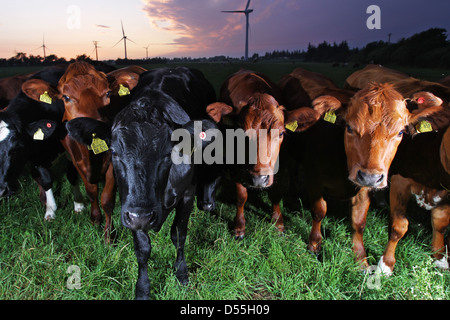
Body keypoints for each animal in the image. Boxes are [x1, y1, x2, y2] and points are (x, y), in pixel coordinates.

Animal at [0, 66, 84, 219]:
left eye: (16, 149)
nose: (1, 191)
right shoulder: (36, 157)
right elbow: (45, 180)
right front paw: (50, 210)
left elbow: (72, 175)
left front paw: (79, 205)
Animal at [20, 62, 146, 242]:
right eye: (66, 97)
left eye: (108, 93)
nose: (92, 127)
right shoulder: (76, 160)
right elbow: (91, 192)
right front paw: (95, 221)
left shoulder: (113, 163)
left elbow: (107, 199)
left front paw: (108, 235)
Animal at [206, 70, 318, 240]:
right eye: (240, 133)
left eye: (281, 133)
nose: (259, 179)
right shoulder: (238, 167)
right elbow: (241, 196)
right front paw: (239, 226)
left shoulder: (281, 164)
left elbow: (276, 193)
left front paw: (278, 222)